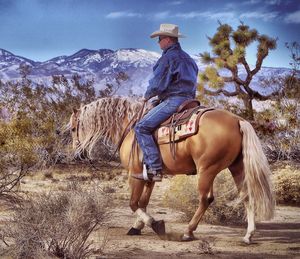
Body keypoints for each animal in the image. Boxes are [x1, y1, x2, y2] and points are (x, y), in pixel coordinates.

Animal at [69, 96, 274, 245]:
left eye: (72, 128)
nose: (77, 153)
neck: (130, 127)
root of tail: (238, 120)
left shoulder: (135, 174)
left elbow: (134, 203)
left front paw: (155, 224)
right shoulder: (149, 176)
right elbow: (143, 202)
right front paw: (137, 227)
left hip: (207, 169)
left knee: (205, 199)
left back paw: (188, 232)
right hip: (237, 167)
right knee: (246, 196)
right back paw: (248, 235)